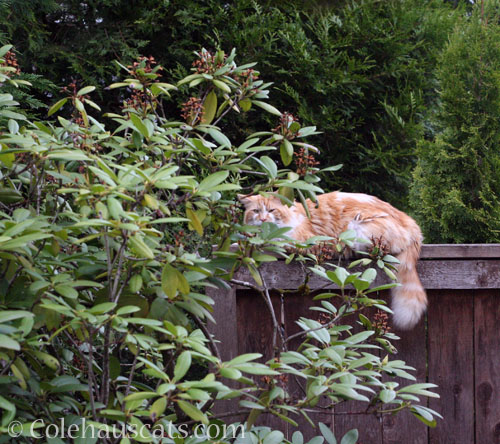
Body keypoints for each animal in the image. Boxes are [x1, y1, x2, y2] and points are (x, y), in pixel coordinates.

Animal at [240, 191, 428, 330]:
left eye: (271, 211)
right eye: (256, 211)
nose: (263, 219)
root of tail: (412, 223)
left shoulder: (304, 240)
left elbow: (273, 240)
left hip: (357, 229)